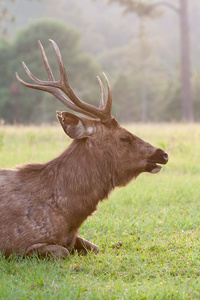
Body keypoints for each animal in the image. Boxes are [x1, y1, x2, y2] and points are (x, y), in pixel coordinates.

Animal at [0, 40, 169, 258]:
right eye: (124, 137)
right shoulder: (16, 246)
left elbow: (94, 247)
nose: (163, 154)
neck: (68, 217)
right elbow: (61, 251)